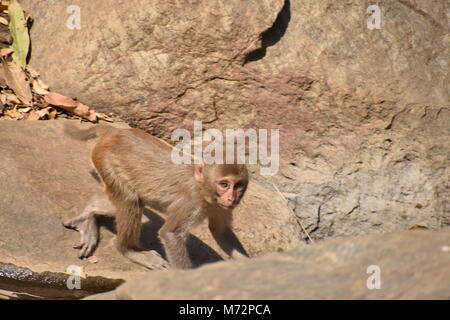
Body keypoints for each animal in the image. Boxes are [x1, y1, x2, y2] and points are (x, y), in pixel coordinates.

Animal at [63, 124, 248, 268]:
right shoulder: (191, 202)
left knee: (126, 202)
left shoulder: (220, 207)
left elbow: (221, 231)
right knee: (130, 201)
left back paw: (90, 212)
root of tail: (115, 132)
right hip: (107, 162)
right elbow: (170, 234)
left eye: (238, 185)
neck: (204, 189)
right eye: (224, 184)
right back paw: (128, 250)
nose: (232, 198)